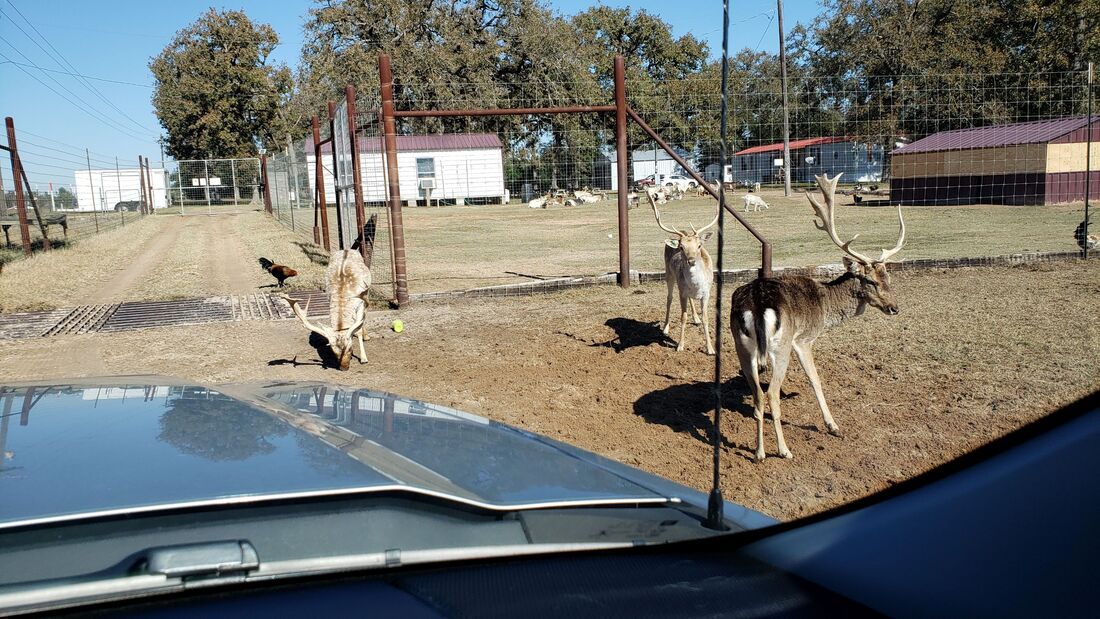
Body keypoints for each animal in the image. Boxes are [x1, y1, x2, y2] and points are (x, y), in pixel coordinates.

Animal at [642, 189, 721, 354]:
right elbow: (683, 317)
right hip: (670, 275)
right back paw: (665, 328)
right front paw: (680, 345)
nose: (691, 261)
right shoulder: (682, 292)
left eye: (699, 245)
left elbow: (706, 318)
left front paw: (710, 349)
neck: (697, 285)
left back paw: (695, 319)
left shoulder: (707, 292)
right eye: (681, 247)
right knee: (669, 298)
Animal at [734, 171, 906, 461]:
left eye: (888, 279)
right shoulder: (803, 340)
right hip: (780, 348)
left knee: (758, 395)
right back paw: (783, 450)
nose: (894, 308)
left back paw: (759, 452)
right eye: (870, 281)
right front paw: (833, 425)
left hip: (742, 346)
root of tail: (756, 305)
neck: (825, 308)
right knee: (771, 395)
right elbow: (815, 380)